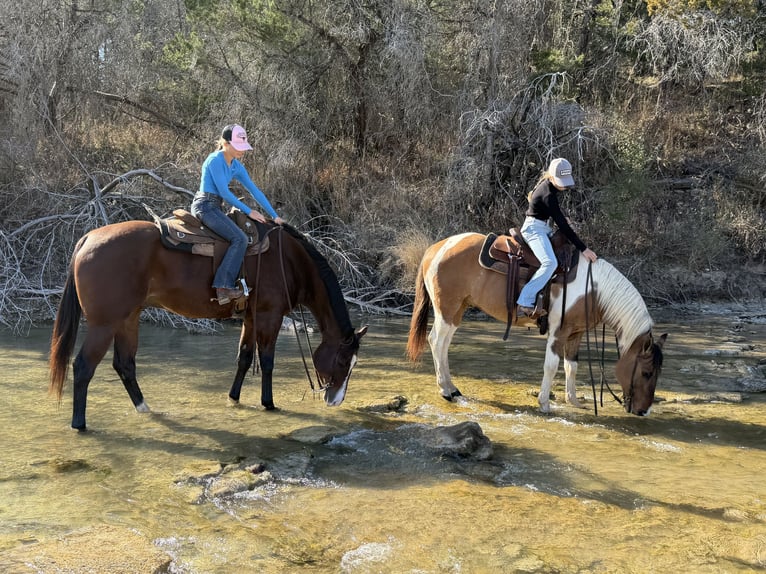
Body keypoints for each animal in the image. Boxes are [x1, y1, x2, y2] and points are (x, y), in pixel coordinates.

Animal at [49, 220, 367, 430]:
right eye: (342, 360)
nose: (336, 400)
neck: (289, 260)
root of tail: (88, 238)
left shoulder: (251, 318)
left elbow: (244, 358)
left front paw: (234, 398)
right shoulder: (270, 316)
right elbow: (266, 360)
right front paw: (268, 403)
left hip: (128, 318)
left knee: (124, 364)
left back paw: (145, 408)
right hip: (105, 323)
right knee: (84, 366)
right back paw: (79, 424)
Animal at [406, 232, 666, 416]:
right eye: (646, 372)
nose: (644, 411)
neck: (593, 288)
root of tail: (435, 248)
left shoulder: (576, 334)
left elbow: (572, 366)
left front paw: (574, 401)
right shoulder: (558, 331)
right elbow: (551, 365)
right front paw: (544, 404)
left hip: (456, 311)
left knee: (443, 345)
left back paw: (452, 389)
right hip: (447, 310)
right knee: (436, 342)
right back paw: (445, 390)